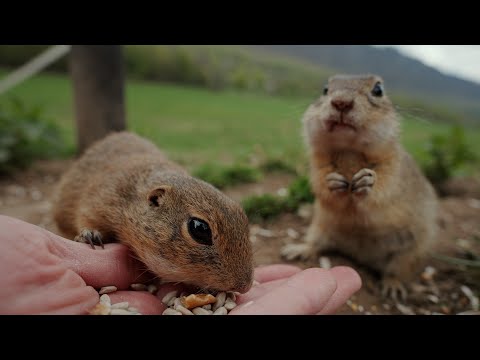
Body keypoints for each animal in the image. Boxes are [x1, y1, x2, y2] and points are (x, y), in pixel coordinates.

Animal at [52, 131, 255, 294]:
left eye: (243, 217)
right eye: (199, 229)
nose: (245, 286)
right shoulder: (100, 198)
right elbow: (86, 217)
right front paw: (91, 234)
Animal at [282, 74, 438, 300]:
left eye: (378, 89)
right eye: (325, 88)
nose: (341, 102)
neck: (349, 150)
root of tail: (361, 256)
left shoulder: (393, 165)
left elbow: (386, 185)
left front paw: (367, 181)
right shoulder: (318, 163)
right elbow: (320, 182)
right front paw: (332, 182)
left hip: (412, 251)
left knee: (397, 270)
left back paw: (393, 286)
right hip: (319, 226)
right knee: (317, 244)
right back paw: (298, 249)